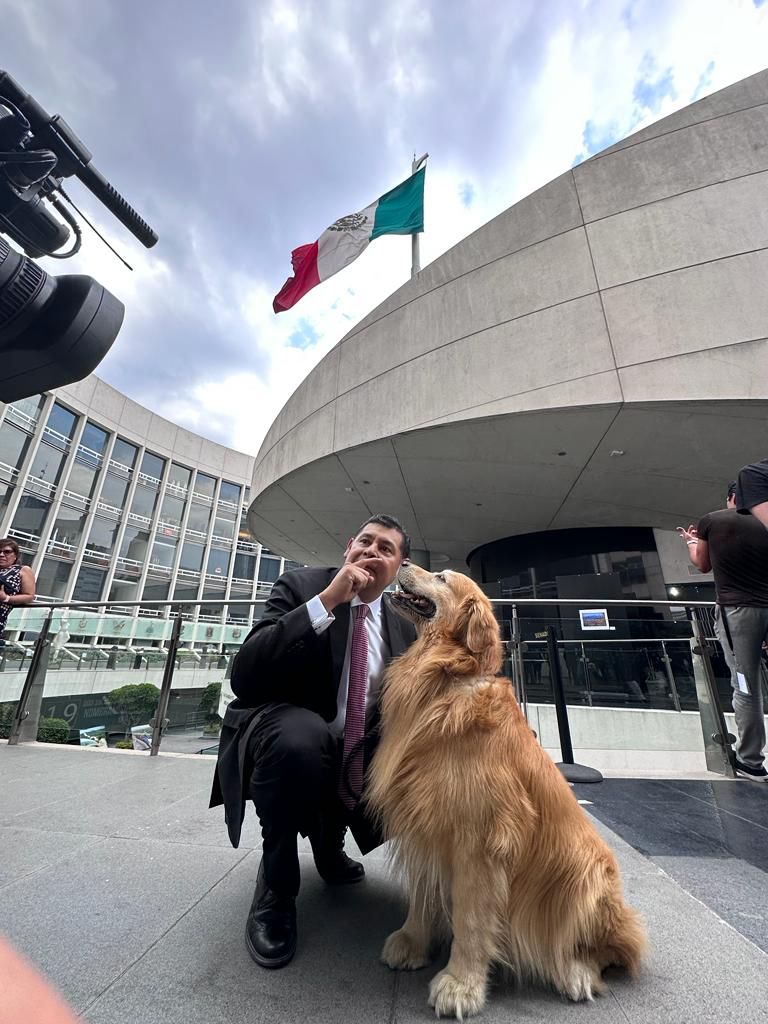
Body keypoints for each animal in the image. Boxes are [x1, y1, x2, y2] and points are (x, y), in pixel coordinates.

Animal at [368, 565, 651, 1019]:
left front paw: (461, 986)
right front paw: (413, 940)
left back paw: (575, 973)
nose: (405, 561)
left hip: (585, 874)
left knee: (613, 951)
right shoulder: (428, 823)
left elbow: (472, 919)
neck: (445, 676)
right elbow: (423, 892)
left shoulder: (481, 839)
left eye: (442, 577)